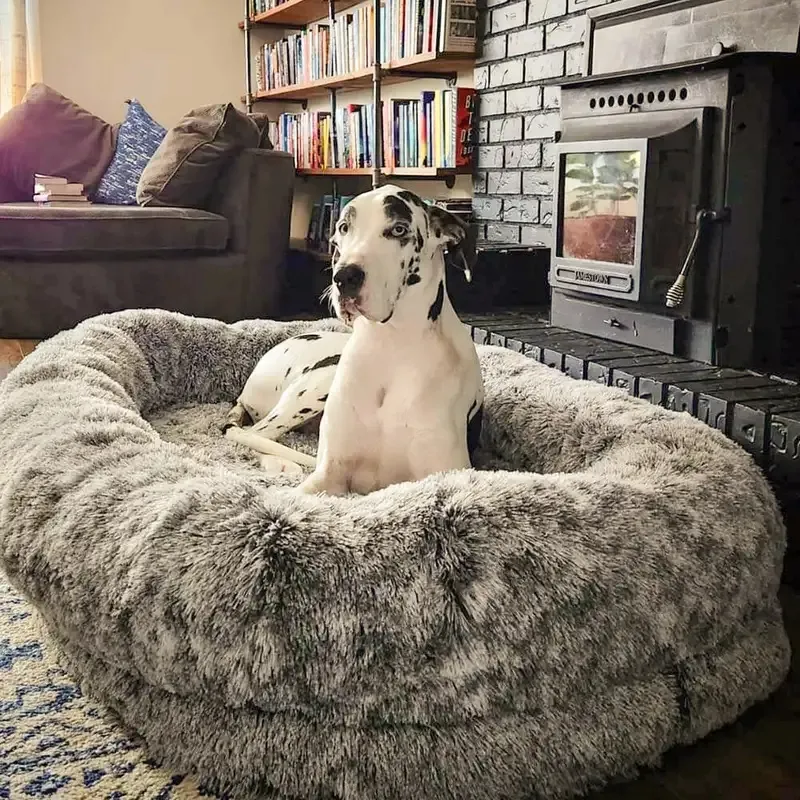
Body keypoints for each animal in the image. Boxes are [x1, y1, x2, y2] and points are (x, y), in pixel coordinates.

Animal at [225, 184, 482, 494]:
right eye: (344, 228)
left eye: (398, 229)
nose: (344, 276)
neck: (393, 345)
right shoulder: (328, 474)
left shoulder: (447, 473)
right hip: (314, 389)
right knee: (256, 432)